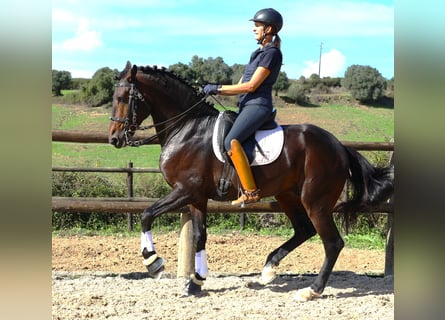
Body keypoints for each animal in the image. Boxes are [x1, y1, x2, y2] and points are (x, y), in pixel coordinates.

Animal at [109, 61, 394, 302]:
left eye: (123, 99)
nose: (114, 139)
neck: (187, 128)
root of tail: (339, 147)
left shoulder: (184, 191)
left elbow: (146, 214)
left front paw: (153, 263)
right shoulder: (197, 197)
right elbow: (200, 236)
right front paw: (196, 282)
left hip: (315, 202)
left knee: (332, 243)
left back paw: (311, 290)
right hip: (287, 195)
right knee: (304, 230)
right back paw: (269, 268)